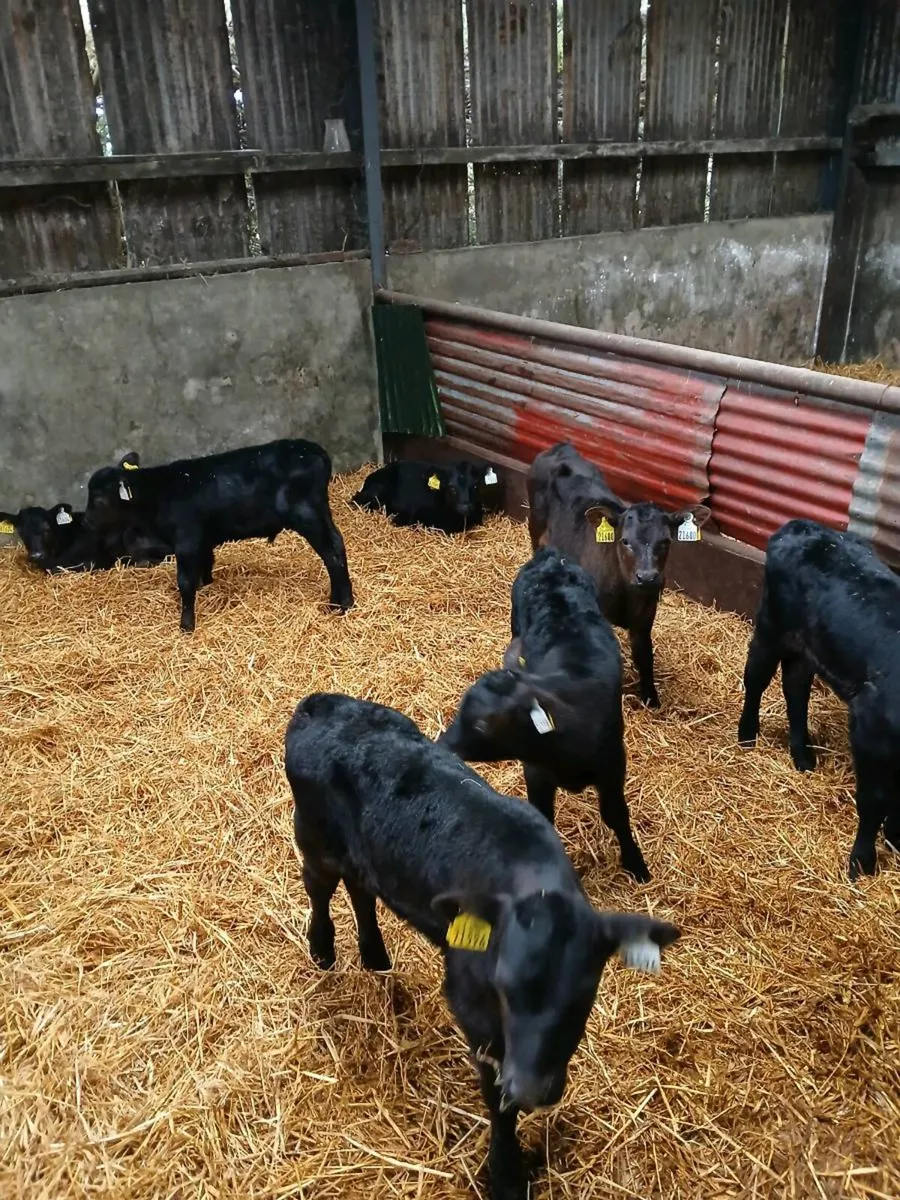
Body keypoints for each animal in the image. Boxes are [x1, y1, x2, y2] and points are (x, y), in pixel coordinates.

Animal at [83, 439, 353, 632]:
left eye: (98, 499)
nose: (86, 521)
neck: (157, 494)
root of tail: (317, 452)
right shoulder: (202, 540)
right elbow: (205, 565)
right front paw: (206, 585)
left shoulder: (186, 541)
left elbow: (185, 582)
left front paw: (186, 625)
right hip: (320, 512)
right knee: (338, 545)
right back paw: (343, 602)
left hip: (307, 514)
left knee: (331, 553)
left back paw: (339, 604)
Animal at [285, 693, 679, 1200]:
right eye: (505, 989)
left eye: (583, 995)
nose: (531, 1090)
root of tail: (320, 703)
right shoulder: (472, 1004)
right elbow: (495, 1094)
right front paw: (506, 1172)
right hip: (315, 839)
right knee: (318, 889)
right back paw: (322, 949)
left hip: (363, 853)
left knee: (361, 890)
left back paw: (374, 955)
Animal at [440, 547, 650, 881]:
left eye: (483, 725)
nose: (443, 745)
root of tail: (552, 558)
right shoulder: (535, 772)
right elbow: (542, 816)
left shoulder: (614, 765)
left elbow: (615, 814)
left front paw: (636, 863)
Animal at [527, 443, 711, 707]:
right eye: (625, 541)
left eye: (666, 541)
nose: (647, 577)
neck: (627, 594)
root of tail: (560, 447)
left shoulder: (645, 616)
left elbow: (644, 656)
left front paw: (651, 698)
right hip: (535, 530)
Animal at [737, 518, 900, 879]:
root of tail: (802, 525)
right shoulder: (870, 725)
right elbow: (875, 798)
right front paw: (862, 861)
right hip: (771, 626)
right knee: (756, 678)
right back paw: (746, 735)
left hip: (807, 646)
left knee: (795, 690)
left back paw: (802, 755)